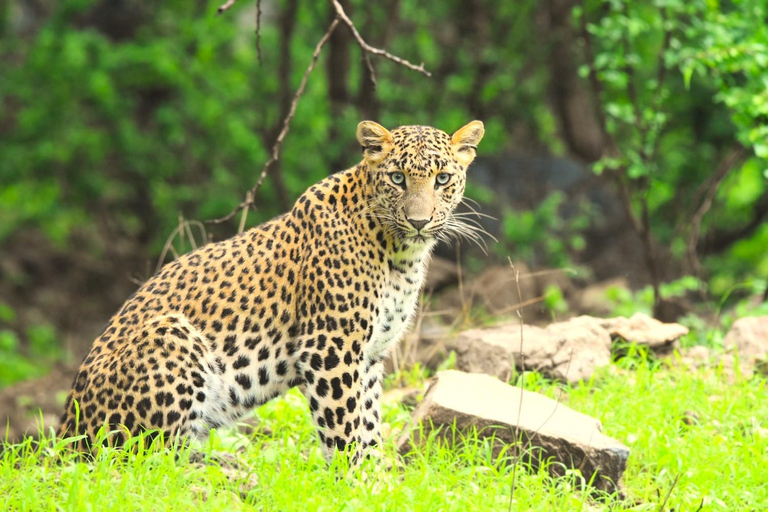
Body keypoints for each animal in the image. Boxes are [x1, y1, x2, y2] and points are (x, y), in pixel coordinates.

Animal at [58, 120, 486, 464]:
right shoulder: (330, 348)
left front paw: (377, 480)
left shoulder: (369, 356)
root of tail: (65, 431)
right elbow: (345, 428)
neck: (401, 253)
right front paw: (355, 482)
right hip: (171, 333)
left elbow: (368, 424)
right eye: (397, 178)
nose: (419, 221)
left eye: (443, 179)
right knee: (146, 460)